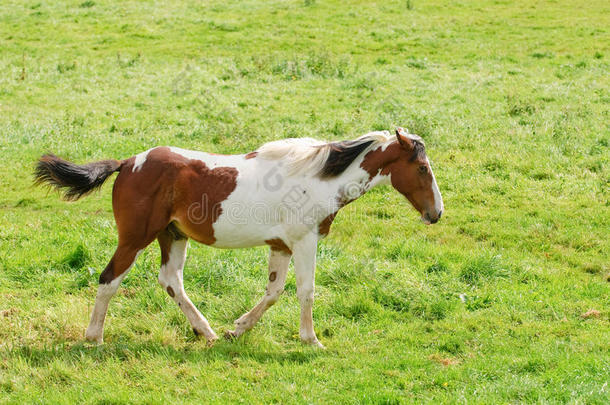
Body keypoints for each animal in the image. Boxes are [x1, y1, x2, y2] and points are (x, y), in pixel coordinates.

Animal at [34, 127, 442, 348]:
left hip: (172, 236)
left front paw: (238, 328)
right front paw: (311, 340)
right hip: (135, 238)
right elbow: (306, 291)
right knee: (109, 279)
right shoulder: (304, 241)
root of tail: (128, 163)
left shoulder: (281, 246)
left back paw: (208, 332)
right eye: (422, 168)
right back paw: (94, 336)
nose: (435, 213)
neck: (317, 179)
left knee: (171, 280)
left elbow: (274, 292)